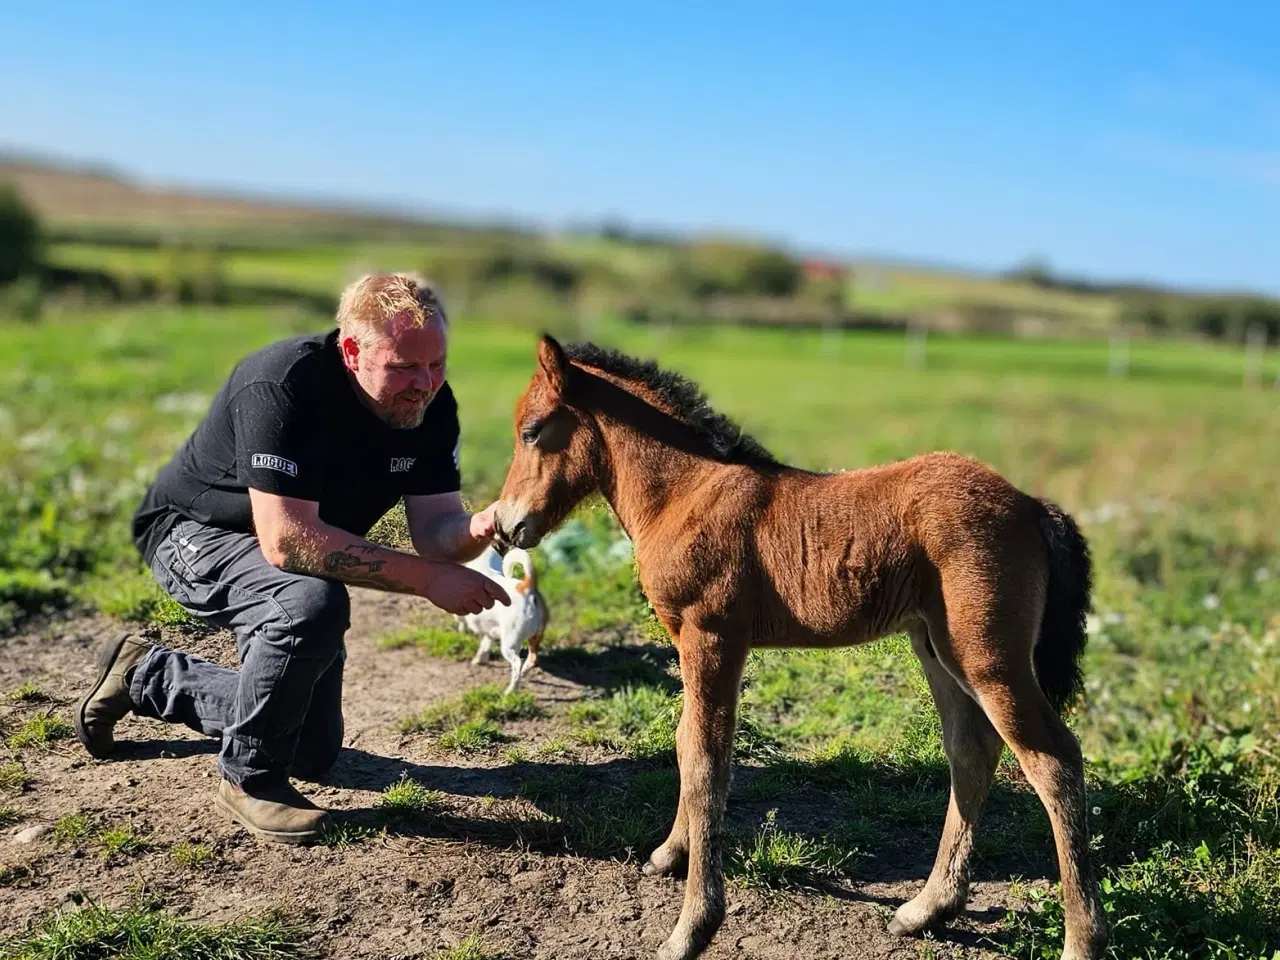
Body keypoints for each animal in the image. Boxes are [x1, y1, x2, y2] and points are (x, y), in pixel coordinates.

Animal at [455, 545, 545, 696]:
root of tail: (526, 588)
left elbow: (460, 620)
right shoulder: (491, 628)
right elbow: (486, 643)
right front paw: (480, 658)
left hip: (509, 643)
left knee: (517, 663)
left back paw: (511, 690)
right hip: (534, 637)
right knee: (532, 659)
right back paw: (524, 673)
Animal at [488, 335, 1111, 960]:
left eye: (532, 431)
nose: (505, 525)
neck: (686, 493)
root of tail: (1032, 505)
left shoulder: (712, 636)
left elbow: (708, 762)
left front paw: (691, 928)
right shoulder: (691, 643)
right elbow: (686, 742)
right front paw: (670, 854)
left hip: (988, 659)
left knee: (1054, 761)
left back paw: (1080, 939)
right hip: (937, 648)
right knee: (971, 751)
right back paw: (926, 910)